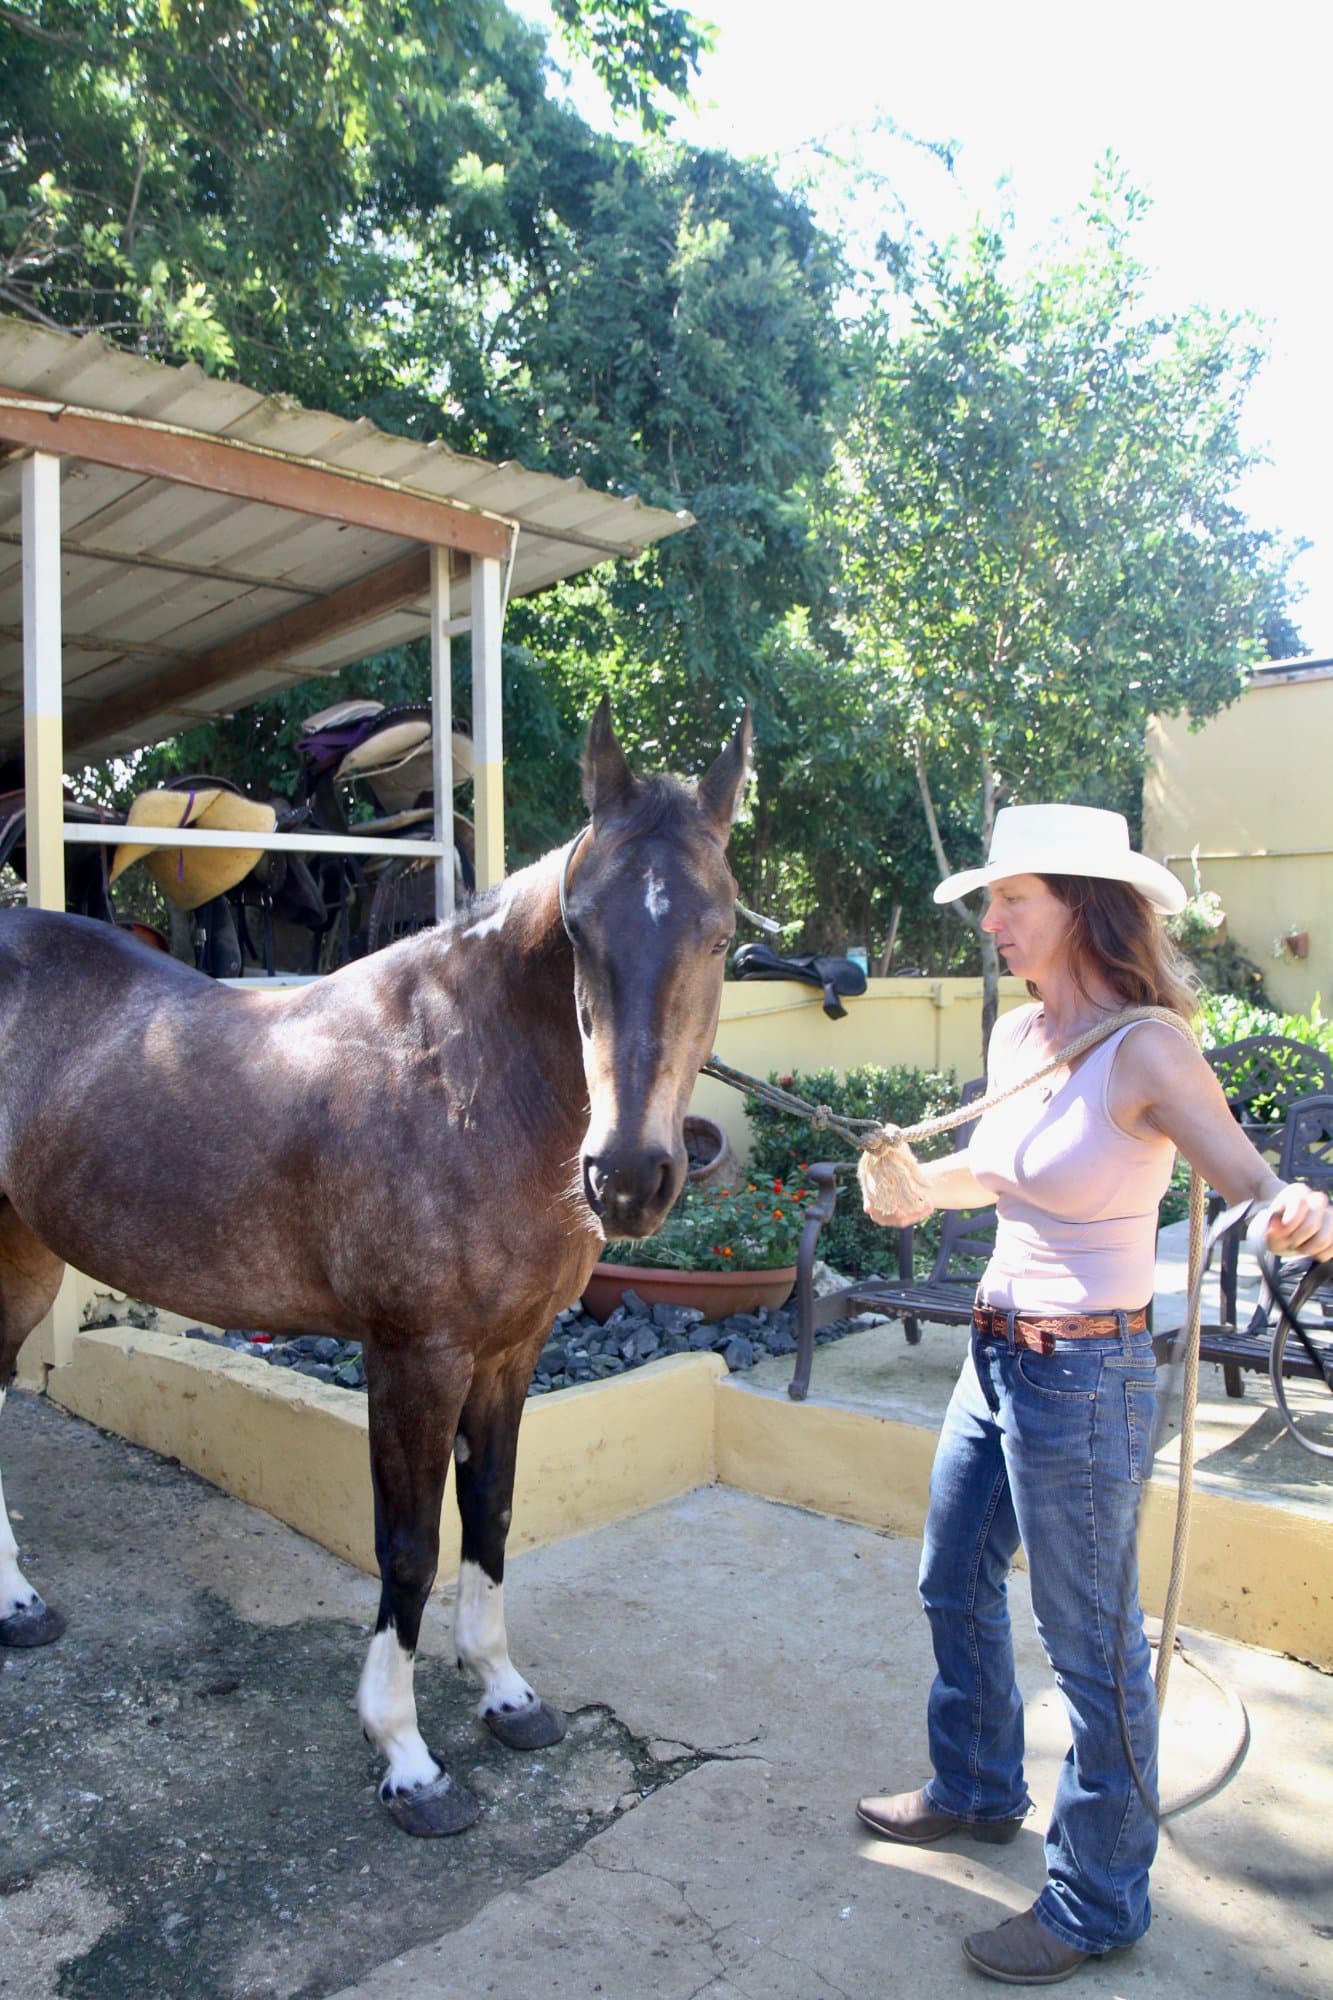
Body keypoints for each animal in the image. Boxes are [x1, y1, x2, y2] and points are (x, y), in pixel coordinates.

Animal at [0, 700, 751, 1837]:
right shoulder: (414, 1357)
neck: (468, 1079)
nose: (626, 1177)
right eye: (579, 930)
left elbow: (490, 1513)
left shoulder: (511, 1351)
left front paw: (505, 1692)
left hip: (26, 1250)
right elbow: (407, 1545)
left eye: (720, 932)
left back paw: (19, 1606)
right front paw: (406, 1757)